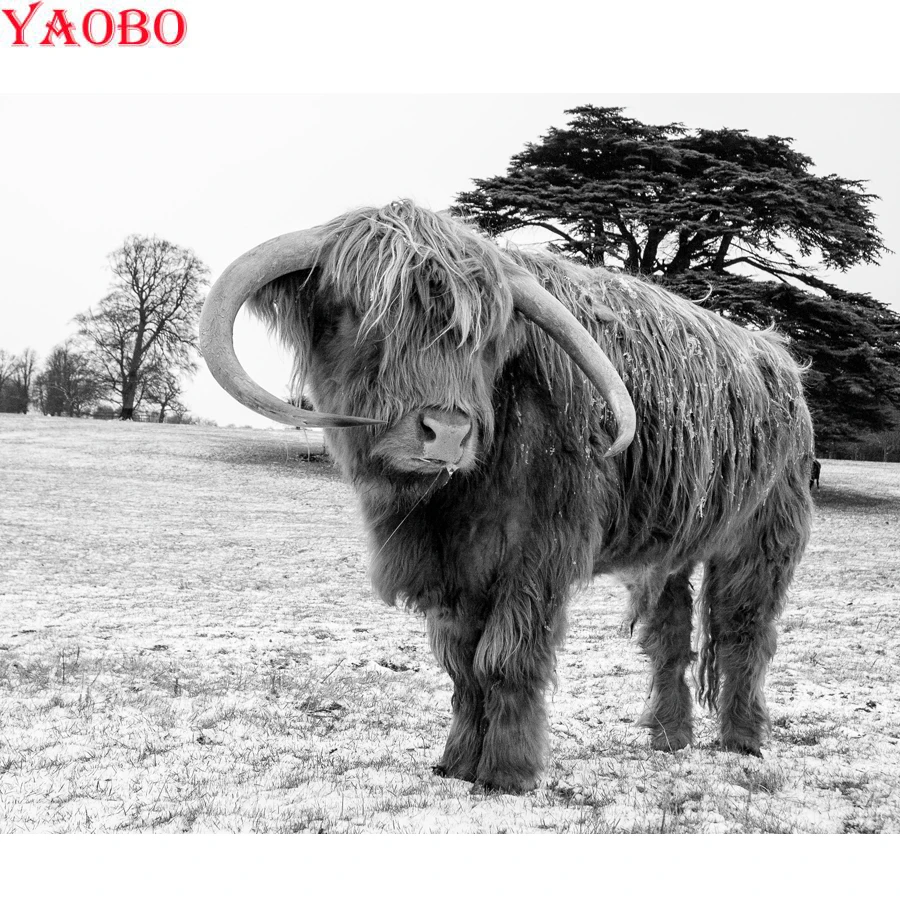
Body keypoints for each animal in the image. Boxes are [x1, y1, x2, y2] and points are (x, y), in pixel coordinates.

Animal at [200, 201, 814, 793]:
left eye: (483, 340)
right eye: (361, 314)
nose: (446, 432)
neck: (449, 500)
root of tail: (779, 358)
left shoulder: (538, 555)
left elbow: (506, 659)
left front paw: (507, 773)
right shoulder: (453, 569)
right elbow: (463, 667)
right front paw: (455, 763)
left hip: (765, 539)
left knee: (745, 631)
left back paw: (742, 739)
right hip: (668, 550)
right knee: (670, 633)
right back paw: (668, 736)